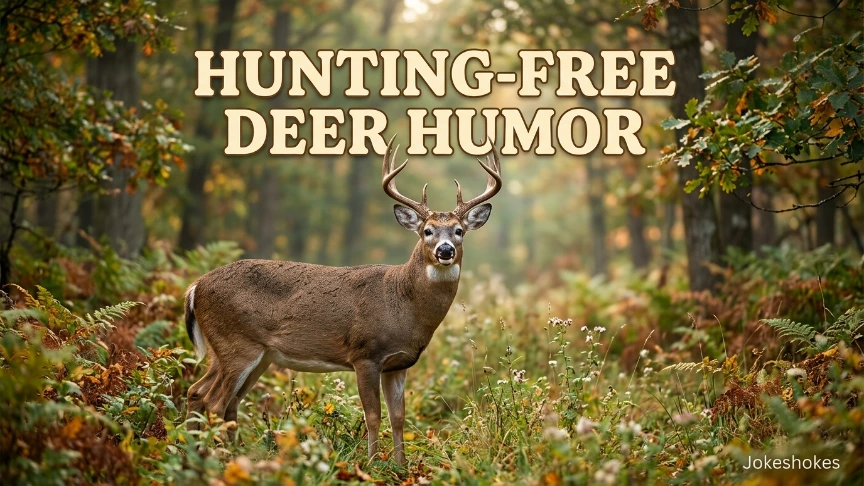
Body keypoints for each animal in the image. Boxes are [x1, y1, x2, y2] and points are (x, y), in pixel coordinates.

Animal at [183, 136, 502, 464]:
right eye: (427, 231)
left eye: (459, 230)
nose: (445, 250)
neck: (403, 304)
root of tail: (195, 287)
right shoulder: (365, 354)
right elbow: (373, 415)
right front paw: (372, 463)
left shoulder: (399, 364)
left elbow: (398, 417)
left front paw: (401, 466)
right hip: (237, 344)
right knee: (215, 401)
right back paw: (216, 457)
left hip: (249, 353)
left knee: (202, 393)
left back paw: (205, 452)